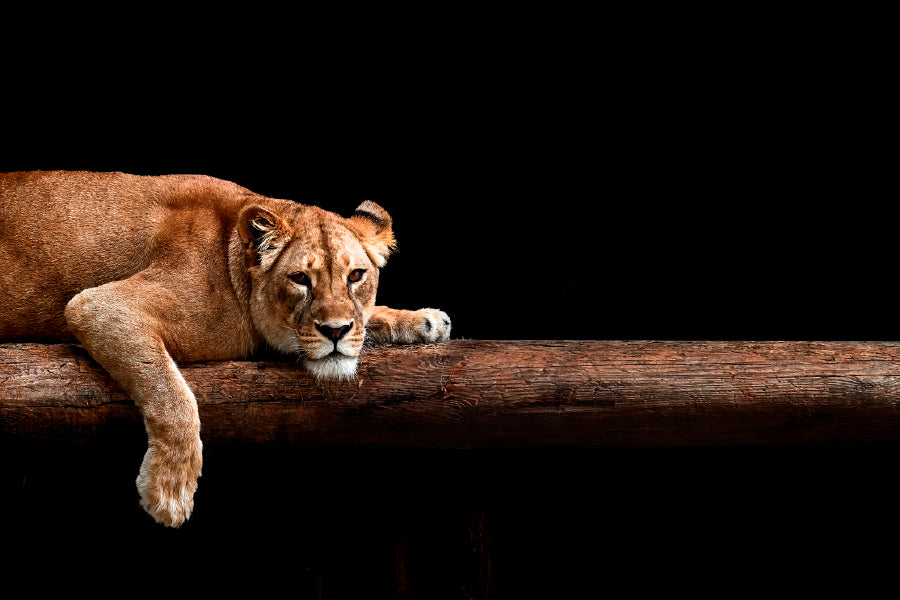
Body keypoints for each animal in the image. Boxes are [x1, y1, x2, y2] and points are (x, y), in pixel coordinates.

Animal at [0, 170, 450, 527]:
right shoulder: (99, 305)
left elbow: (375, 315)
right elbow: (173, 395)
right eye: (300, 279)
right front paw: (169, 492)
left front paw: (423, 319)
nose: (336, 331)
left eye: (356, 276)